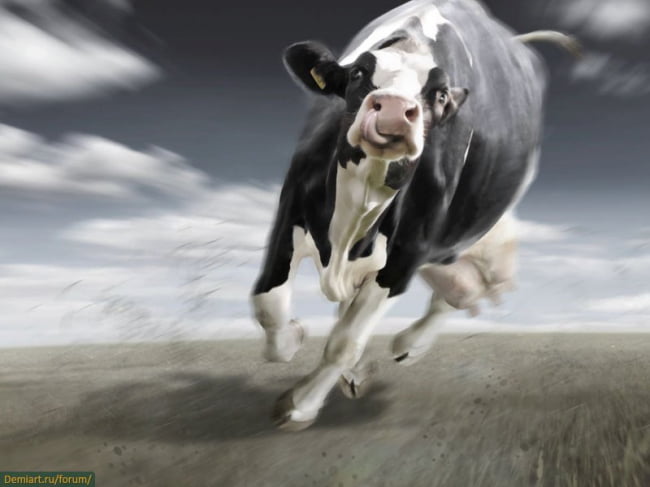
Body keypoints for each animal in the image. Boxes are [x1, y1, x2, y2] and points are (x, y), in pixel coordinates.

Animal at [251, 0, 579, 430]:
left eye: (437, 94)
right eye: (358, 73)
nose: (392, 110)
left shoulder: (408, 254)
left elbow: (345, 341)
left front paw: (300, 405)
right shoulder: (291, 209)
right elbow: (268, 300)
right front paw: (292, 338)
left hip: (475, 240)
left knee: (457, 294)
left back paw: (409, 344)